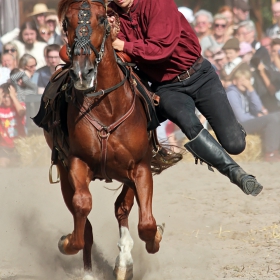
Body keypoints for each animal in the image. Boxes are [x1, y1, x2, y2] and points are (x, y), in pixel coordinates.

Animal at [43, 1, 166, 278]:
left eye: (101, 19)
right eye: (66, 22)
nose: (82, 73)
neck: (106, 106)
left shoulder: (140, 168)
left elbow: (146, 223)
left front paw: (154, 239)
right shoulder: (75, 164)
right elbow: (82, 208)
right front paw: (67, 242)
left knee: (122, 208)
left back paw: (124, 263)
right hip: (64, 172)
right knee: (84, 216)